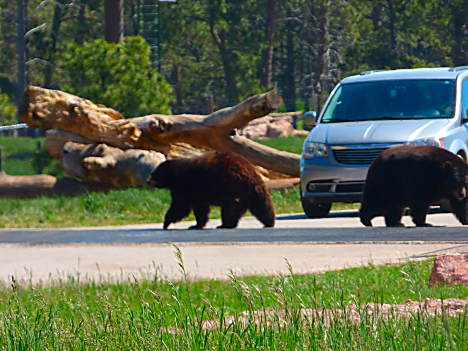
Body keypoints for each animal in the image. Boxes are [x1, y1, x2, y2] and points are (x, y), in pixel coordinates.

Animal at [148, 152, 276, 231]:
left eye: (153, 174)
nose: (147, 181)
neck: (174, 176)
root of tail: (252, 174)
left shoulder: (185, 186)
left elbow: (180, 206)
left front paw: (166, 222)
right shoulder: (196, 193)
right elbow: (200, 208)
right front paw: (196, 225)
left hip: (232, 188)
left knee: (230, 209)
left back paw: (225, 225)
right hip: (254, 192)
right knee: (263, 206)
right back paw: (269, 222)